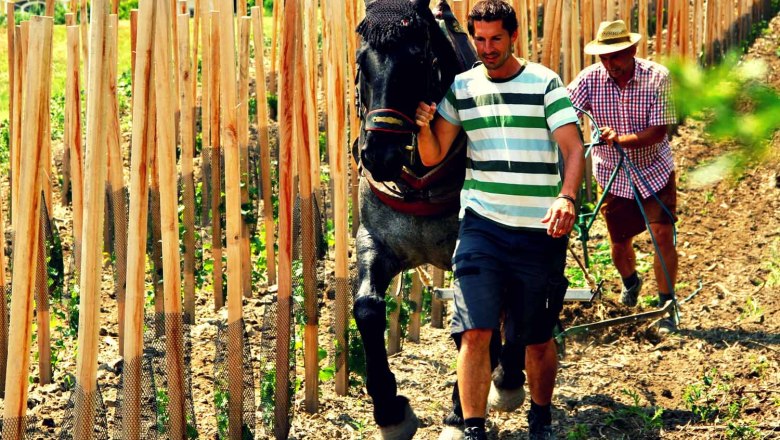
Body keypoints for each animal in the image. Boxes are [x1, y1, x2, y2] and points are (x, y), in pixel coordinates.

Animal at [352, 1, 524, 438]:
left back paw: (507, 379)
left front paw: (460, 413)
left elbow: (476, 323)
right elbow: (367, 308)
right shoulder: (375, 240)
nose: (379, 154)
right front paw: (390, 411)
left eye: (419, 61)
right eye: (362, 61)